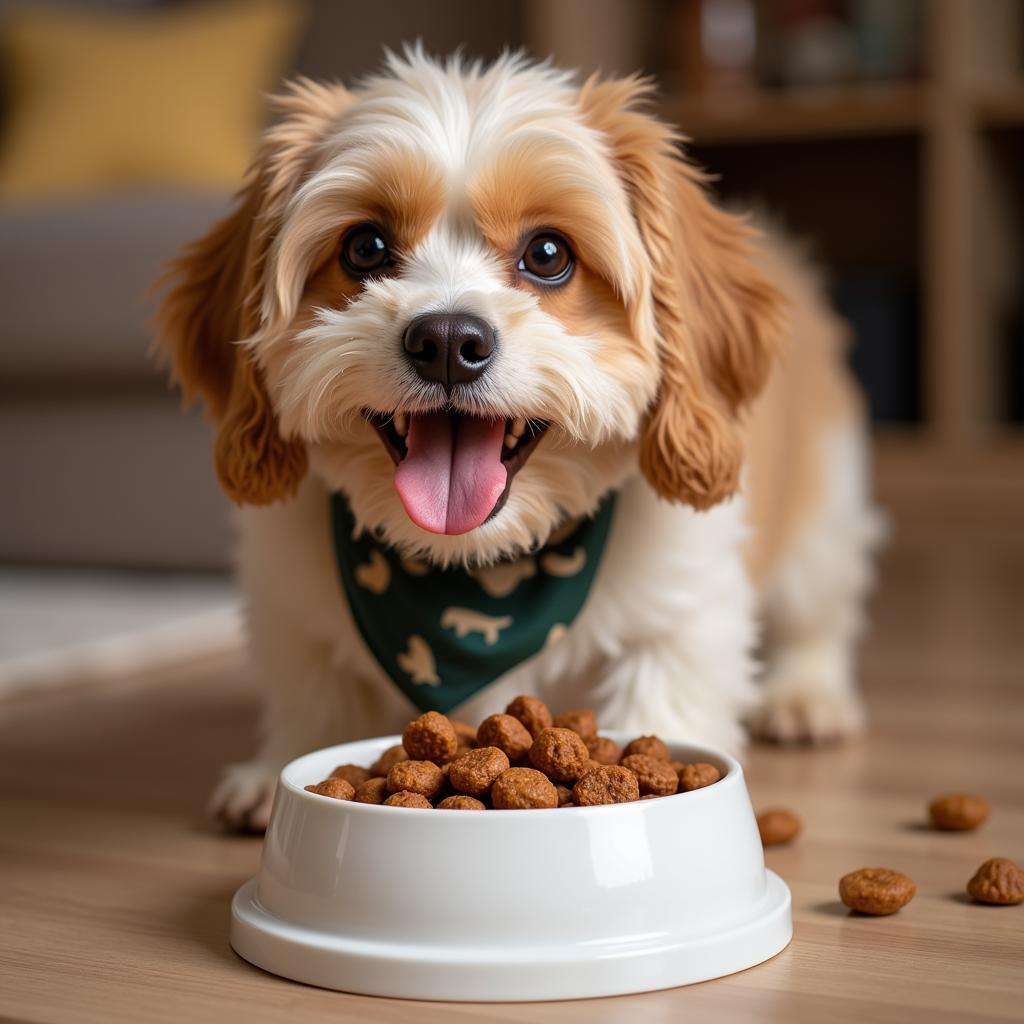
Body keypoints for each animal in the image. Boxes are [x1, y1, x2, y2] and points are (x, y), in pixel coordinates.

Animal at [153, 49, 880, 831]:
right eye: (366, 247)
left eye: (549, 252)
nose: (446, 340)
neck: (473, 564)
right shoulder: (290, 608)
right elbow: (315, 702)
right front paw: (276, 772)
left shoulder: (685, 607)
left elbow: (667, 687)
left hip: (824, 516)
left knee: (820, 612)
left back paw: (806, 695)